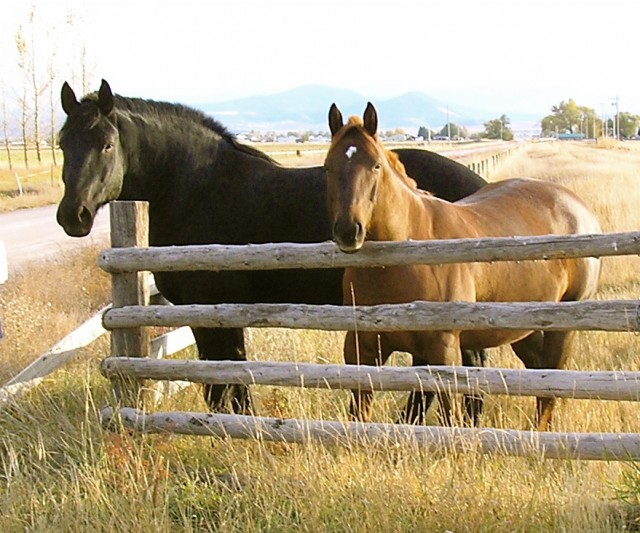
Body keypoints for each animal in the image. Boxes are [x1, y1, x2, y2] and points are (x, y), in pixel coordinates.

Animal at [60, 79, 488, 422]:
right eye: (63, 143)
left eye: (107, 144)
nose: (73, 215)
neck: (196, 187)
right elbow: (231, 380)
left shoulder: (212, 313)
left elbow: (225, 383)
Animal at [328, 103, 604, 428]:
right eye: (328, 167)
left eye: (376, 166)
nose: (349, 231)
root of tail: (577, 208)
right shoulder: (362, 348)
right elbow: (359, 414)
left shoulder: (443, 349)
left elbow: (449, 413)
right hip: (524, 327)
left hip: (563, 328)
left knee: (549, 389)